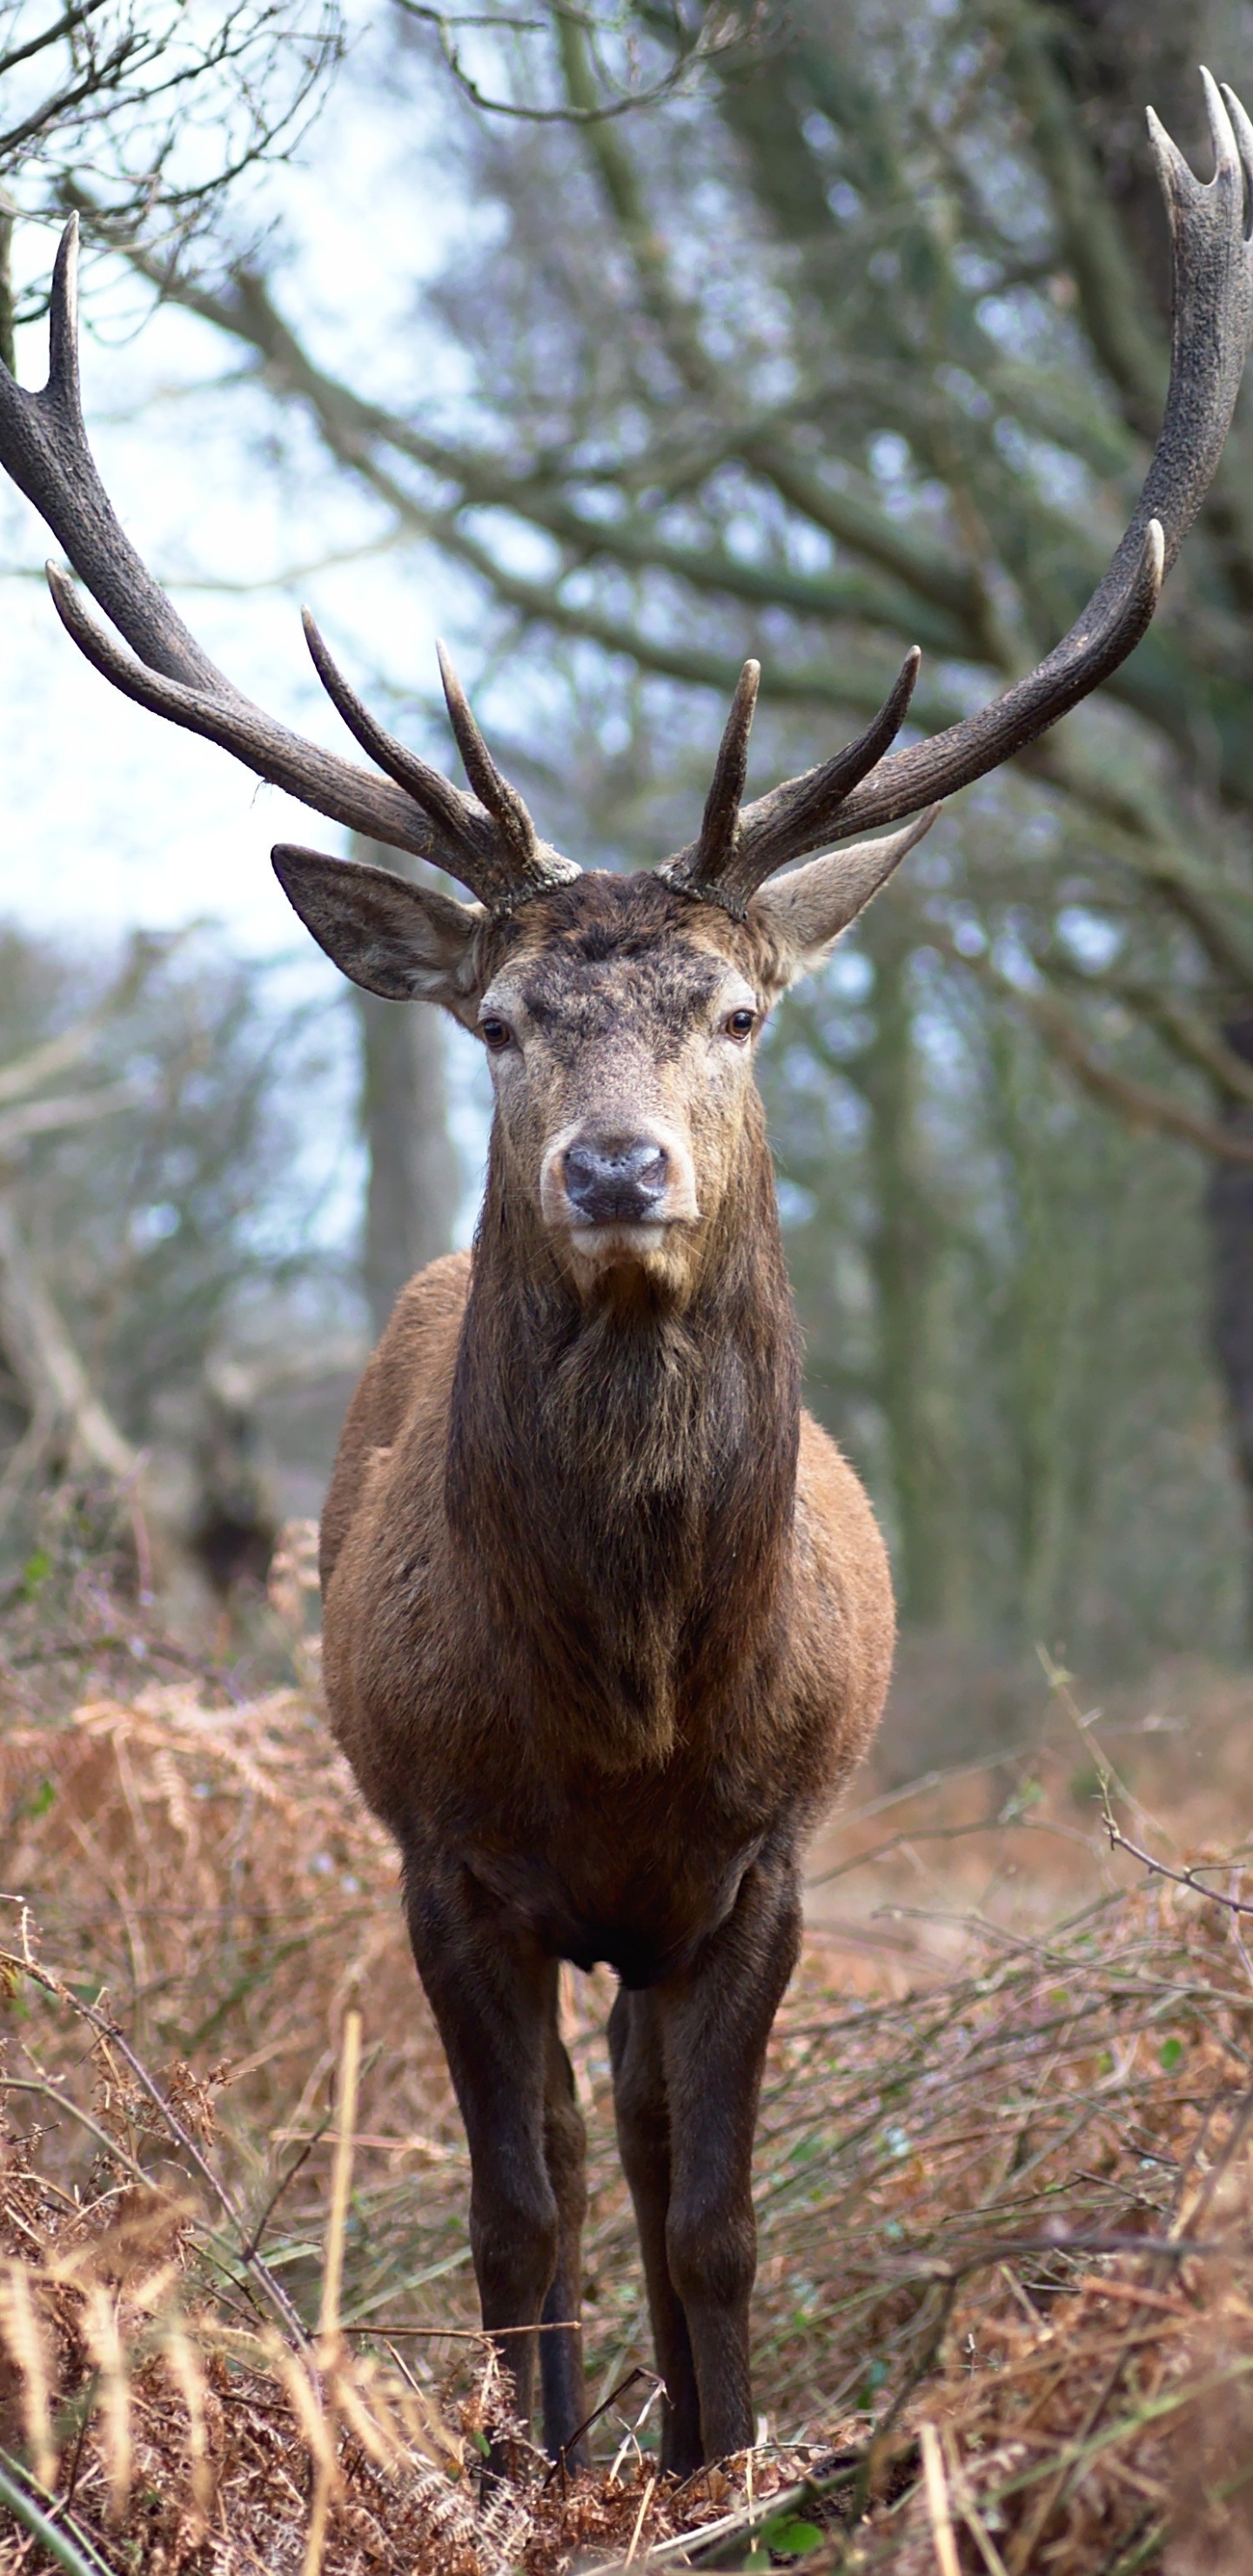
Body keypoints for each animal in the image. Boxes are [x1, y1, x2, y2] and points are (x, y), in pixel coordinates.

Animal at [0, 70, 1248, 2472]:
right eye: (499, 1021)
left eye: (739, 1011)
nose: (612, 1162)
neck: (632, 1701)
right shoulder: (448, 1855)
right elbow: (520, 2208)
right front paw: (546, 2474)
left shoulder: (759, 1865)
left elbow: (714, 2212)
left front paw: (718, 2463)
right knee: (580, 2160)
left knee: (657, 2145)